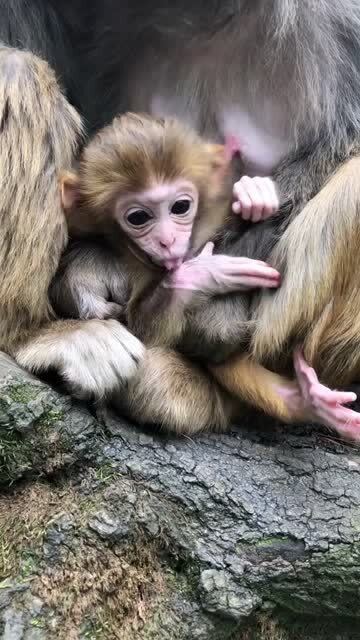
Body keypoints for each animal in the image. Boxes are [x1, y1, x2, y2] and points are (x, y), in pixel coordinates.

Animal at [54, 114, 358, 436]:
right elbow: (166, 329)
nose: (167, 240)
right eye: (138, 217)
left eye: (180, 207)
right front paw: (205, 274)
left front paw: (254, 197)